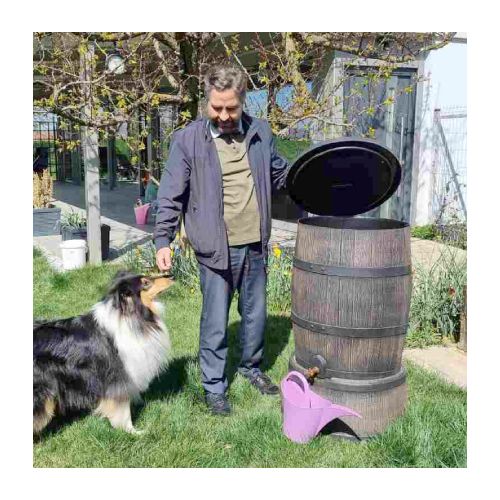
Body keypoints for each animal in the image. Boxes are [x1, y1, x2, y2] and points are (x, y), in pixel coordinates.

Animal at [33, 271, 173, 435]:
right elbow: (123, 410)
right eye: (145, 283)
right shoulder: (117, 378)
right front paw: (133, 432)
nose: (170, 276)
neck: (130, 316)